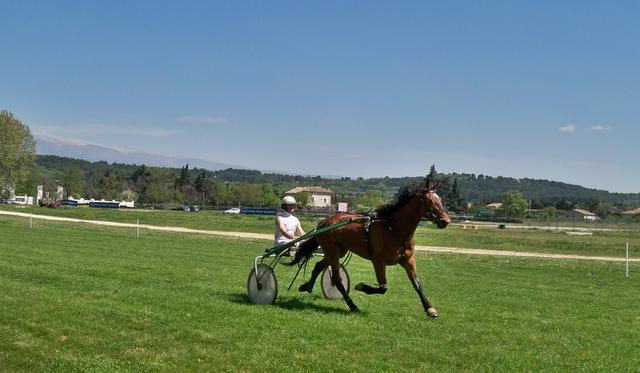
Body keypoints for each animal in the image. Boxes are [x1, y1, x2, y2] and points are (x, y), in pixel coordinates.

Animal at [288, 182, 448, 316]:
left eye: (440, 199)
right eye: (429, 201)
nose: (445, 220)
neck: (394, 230)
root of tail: (323, 222)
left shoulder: (408, 260)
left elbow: (417, 284)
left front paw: (430, 309)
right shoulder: (378, 261)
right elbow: (383, 287)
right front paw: (361, 286)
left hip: (338, 252)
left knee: (318, 266)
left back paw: (307, 286)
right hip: (332, 251)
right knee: (337, 279)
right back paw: (353, 306)